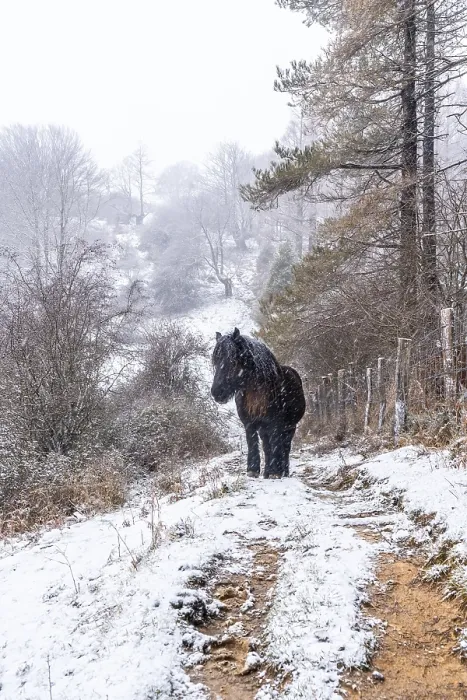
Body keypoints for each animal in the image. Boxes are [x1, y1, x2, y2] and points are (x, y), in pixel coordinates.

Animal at [210, 328, 306, 479]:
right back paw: (267, 472)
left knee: (285, 447)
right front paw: (253, 470)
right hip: (265, 429)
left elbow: (277, 445)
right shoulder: (250, 424)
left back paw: (283, 472)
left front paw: (275, 472)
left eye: (233, 361)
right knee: (267, 447)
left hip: (290, 427)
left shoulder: (275, 424)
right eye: (216, 361)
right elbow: (253, 444)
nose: (217, 392)